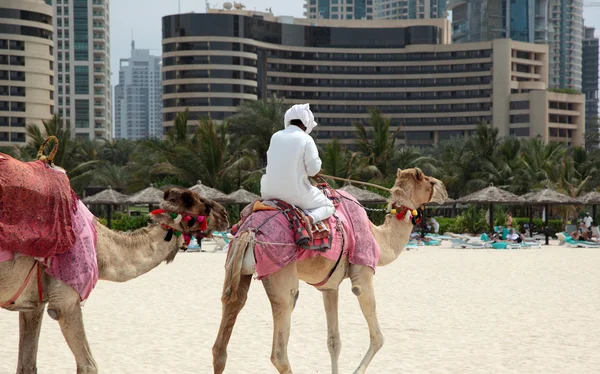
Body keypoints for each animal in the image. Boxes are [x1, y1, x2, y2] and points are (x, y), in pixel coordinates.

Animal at [0, 190, 230, 374]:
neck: (101, 246)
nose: (225, 214)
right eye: (197, 202)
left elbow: (26, 366)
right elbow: (88, 366)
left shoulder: (32, 304)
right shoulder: (65, 301)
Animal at [213, 168, 448, 372]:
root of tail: (249, 231)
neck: (379, 238)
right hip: (281, 274)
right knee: (279, 349)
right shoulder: (363, 273)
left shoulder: (329, 287)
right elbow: (378, 337)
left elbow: (334, 342)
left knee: (223, 336)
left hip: (237, 270)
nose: (444, 190)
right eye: (429, 181)